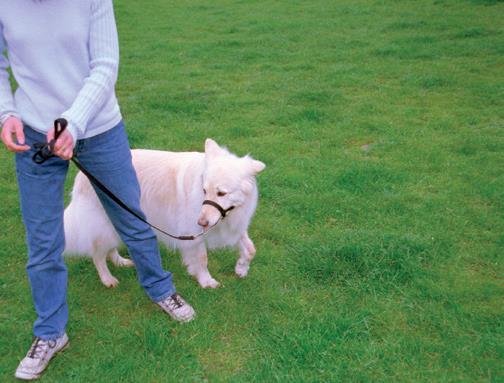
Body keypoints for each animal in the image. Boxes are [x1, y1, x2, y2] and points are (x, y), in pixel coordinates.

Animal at [63, 140, 266, 290]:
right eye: (204, 190)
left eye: (221, 193)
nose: (201, 221)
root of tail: (83, 174)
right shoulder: (193, 234)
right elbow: (202, 259)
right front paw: (206, 282)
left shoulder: (233, 226)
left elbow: (251, 249)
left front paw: (241, 269)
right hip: (104, 225)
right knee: (97, 254)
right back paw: (107, 279)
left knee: (108, 249)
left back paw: (120, 262)